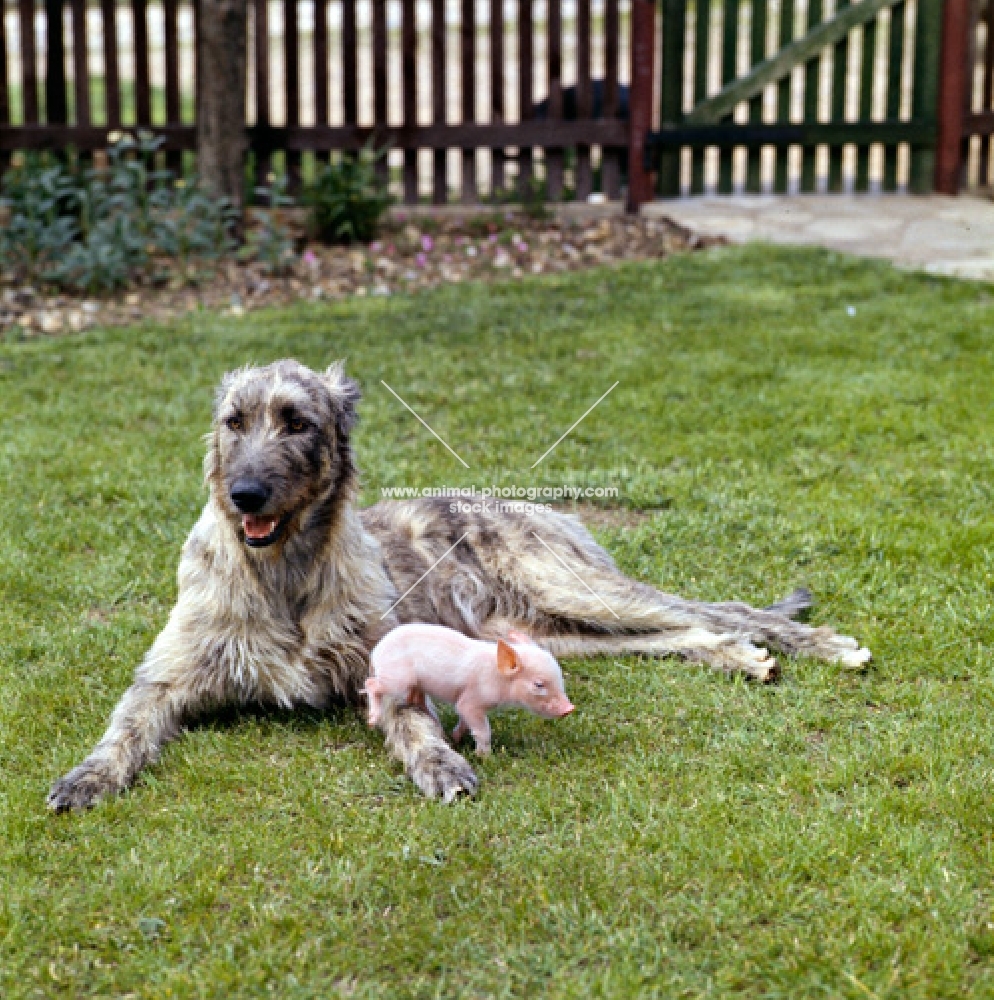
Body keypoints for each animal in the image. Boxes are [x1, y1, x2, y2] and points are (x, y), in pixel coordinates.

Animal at [46, 360, 868, 812]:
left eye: (297, 421)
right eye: (232, 420)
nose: (245, 493)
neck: (284, 575)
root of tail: (533, 505)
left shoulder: (383, 666)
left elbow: (414, 722)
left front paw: (438, 764)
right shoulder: (168, 676)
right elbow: (126, 725)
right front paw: (88, 776)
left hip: (576, 590)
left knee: (718, 607)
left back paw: (819, 644)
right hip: (543, 633)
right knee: (683, 633)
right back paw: (740, 657)